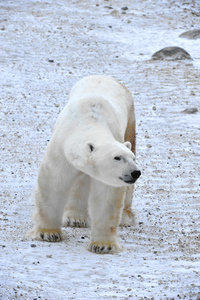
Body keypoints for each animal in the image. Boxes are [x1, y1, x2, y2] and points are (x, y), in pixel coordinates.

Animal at [30, 75, 141, 253]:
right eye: (117, 157)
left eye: (132, 158)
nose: (135, 172)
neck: (87, 120)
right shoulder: (61, 149)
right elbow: (53, 183)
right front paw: (48, 233)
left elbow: (106, 197)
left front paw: (103, 245)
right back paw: (75, 218)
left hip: (130, 121)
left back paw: (125, 217)